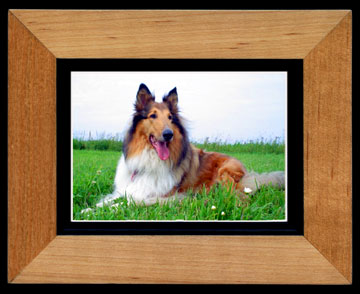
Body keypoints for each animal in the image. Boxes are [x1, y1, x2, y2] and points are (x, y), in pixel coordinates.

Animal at [95, 83, 284, 207]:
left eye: (170, 118)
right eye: (153, 116)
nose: (168, 134)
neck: (150, 158)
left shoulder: (159, 195)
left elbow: (126, 203)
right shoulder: (129, 188)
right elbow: (110, 200)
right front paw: (91, 209)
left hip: (225, 173)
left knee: (238, 196)